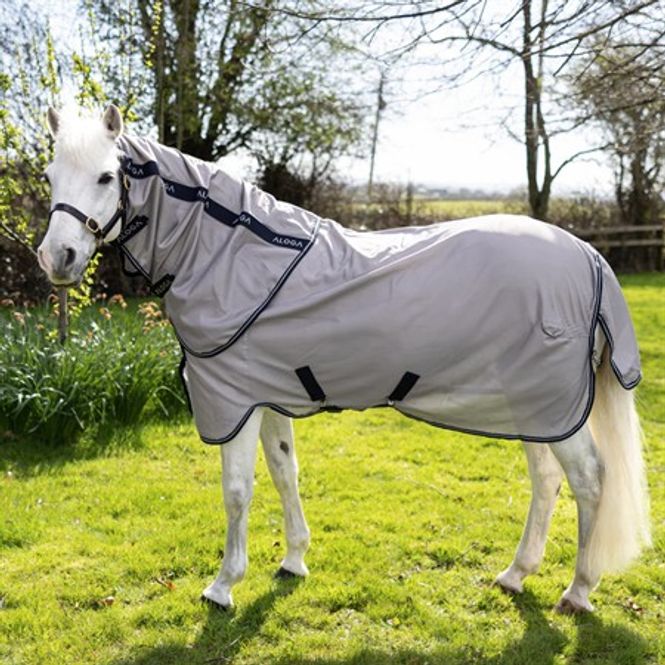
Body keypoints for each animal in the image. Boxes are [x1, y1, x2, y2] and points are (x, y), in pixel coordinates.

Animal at [37, 104, 650, 614]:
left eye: (106, 177)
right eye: (49, 177)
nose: (57, 257)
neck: (234, 257)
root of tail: (588, 255)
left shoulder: (232, 403)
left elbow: (237, 492)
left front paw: (223, 586)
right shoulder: (266, 397)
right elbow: (285, 472)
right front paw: (293, 560)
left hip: (553, 406)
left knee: (590, 480)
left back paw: (578, 591)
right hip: (534, 406)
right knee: (547, 481)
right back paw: (515, 575)